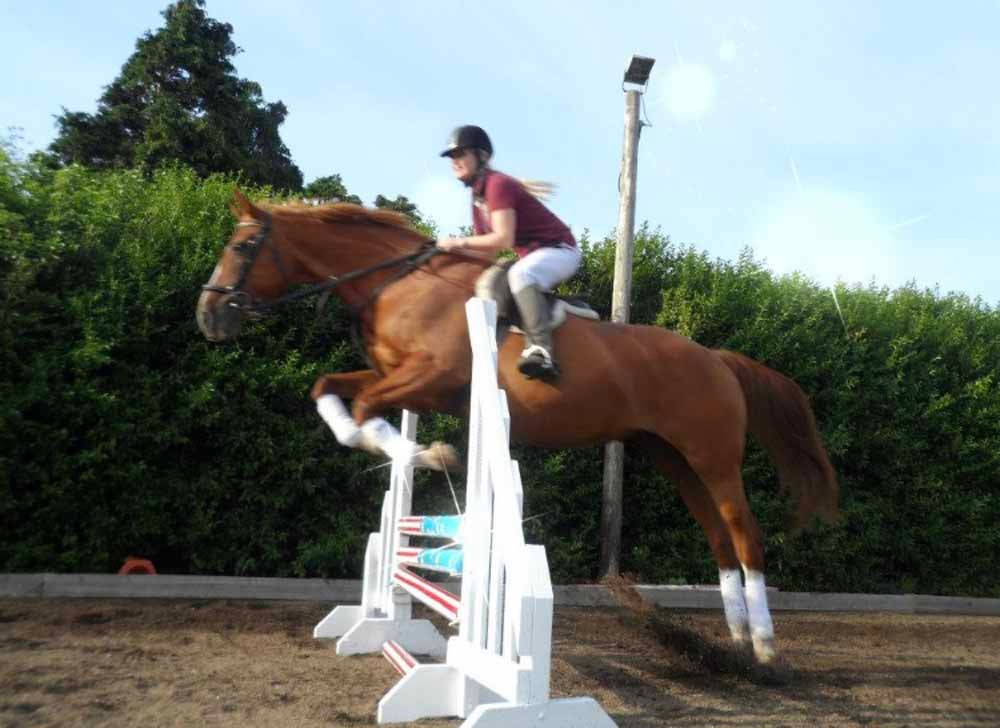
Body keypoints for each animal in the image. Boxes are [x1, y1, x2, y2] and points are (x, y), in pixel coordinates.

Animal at [195, 191, 836, 664]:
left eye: (244, 245)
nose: (208, 316)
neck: (399, 283)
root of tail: (716, 358)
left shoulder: (429, 380)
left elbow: (362, 413)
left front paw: (430, 453)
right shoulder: (394, 376)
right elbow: (328, 389)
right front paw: (411, 452)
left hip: (712, 456)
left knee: (745, 534)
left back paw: (765, 646)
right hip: (671, 456)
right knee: (718, 536)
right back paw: (734, 638)